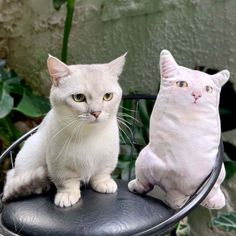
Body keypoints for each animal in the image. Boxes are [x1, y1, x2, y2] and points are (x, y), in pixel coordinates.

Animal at [3, 53, 126, 206]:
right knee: (16, 177)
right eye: (79, 97)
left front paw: (104, 183)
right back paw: (38, 186)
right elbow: (67, 182)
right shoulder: (59, 164)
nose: (96, 113)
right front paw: (67, 195)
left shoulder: (108, 157)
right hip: (31, 152)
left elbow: (101, 173)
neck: (89, 135)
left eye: (108, 96)